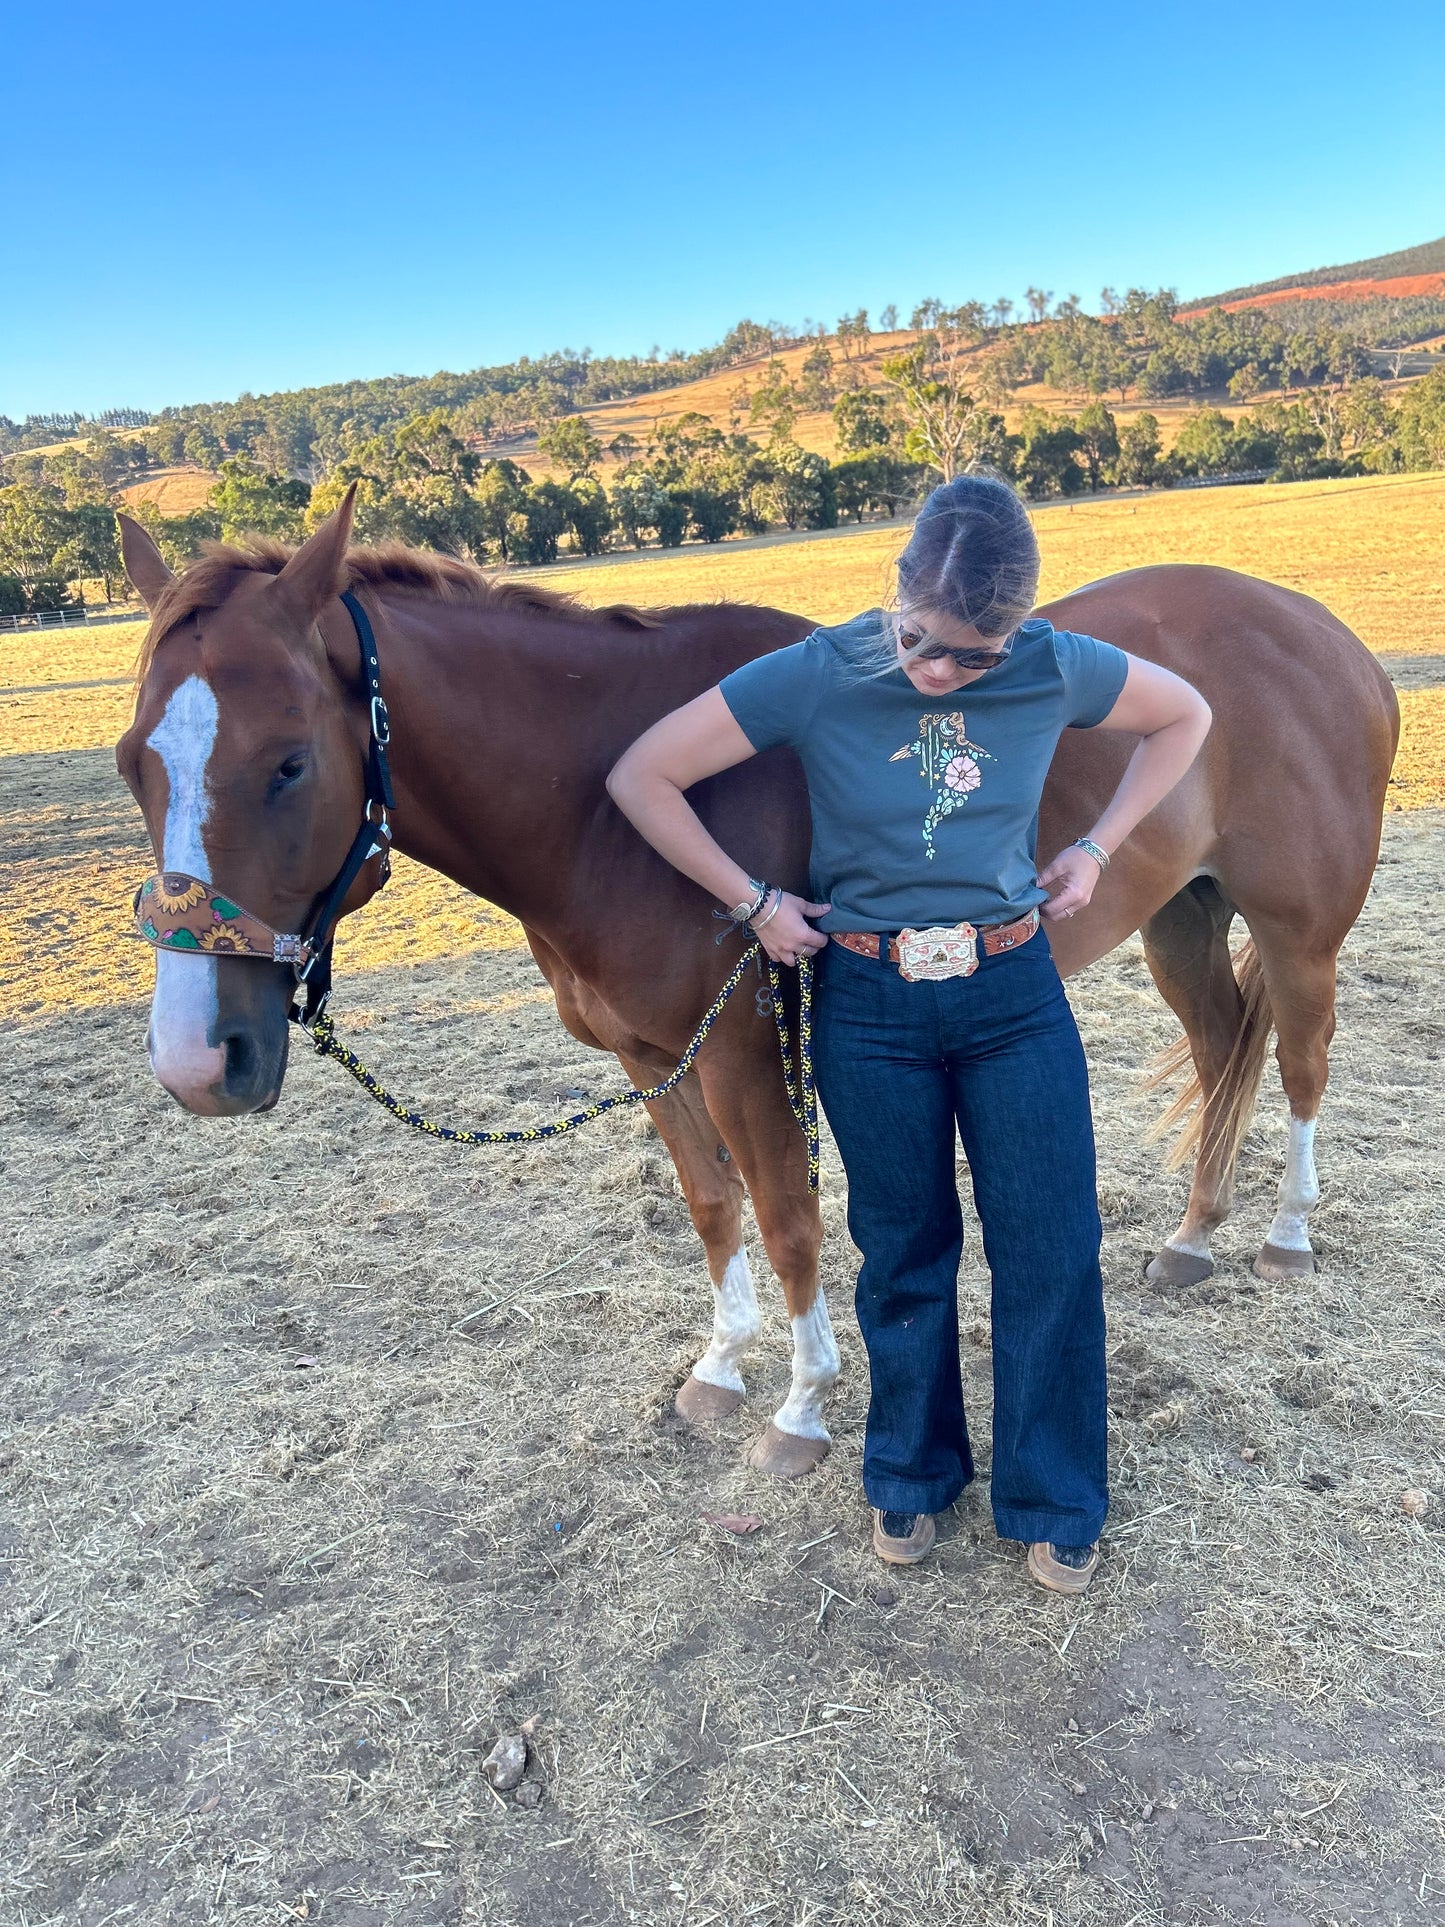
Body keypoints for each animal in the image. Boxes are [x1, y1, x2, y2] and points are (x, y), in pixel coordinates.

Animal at [113, 493, 1402, 1472]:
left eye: (288, 762)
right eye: (133, 763)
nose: (196, 1060)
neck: (608, 799)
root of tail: (1323, 632)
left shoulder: (740, 1050)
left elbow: (786, 1217)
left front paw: (802, 1403)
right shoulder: (652, 1057)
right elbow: (710, 1207)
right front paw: (720, 1367)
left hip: (1296, 933)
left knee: (1297, 1057)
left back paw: (1285, 1232)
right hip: (1179, 917)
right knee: (1222, 1042)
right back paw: (1192, 1235)